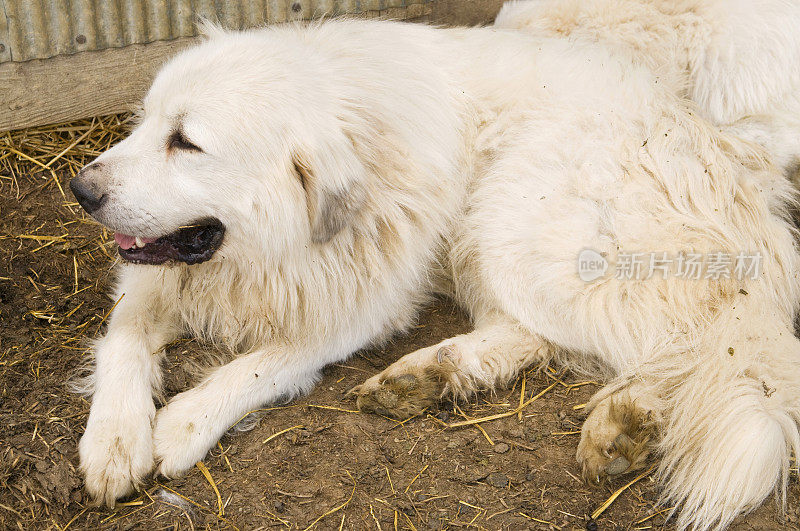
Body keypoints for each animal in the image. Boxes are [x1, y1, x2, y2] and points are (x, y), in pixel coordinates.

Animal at [72, 13, 796, 531]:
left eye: (186, 142)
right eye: (144, 124)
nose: (81, 189)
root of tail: (733, 172)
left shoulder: (364, 301)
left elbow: (267, 362)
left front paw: (184, 423)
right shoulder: (155, 272)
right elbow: (124, 339)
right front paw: (113, 440)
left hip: (510, 215)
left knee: (681, 339)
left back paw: (626, 418)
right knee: (536, 335)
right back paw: (430, 376)